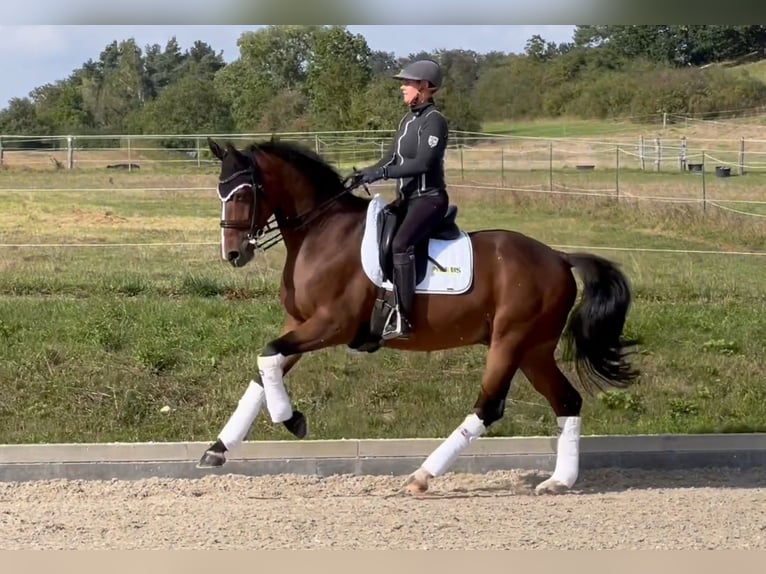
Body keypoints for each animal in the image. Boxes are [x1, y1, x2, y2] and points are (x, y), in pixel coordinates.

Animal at [195, 137, 640, 498]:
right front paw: (218, 449)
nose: (234, 254)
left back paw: (422, 475)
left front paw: (292, 421)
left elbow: (268, 356)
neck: (321, 232)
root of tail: (560, 258)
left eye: (243, 193)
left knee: (489, 406)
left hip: (510, 341)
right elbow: (264, 367)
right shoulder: (299, 324)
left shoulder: (332, 325)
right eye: (220, 191)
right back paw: (560, 481)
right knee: (566, 400)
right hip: (535, 349)